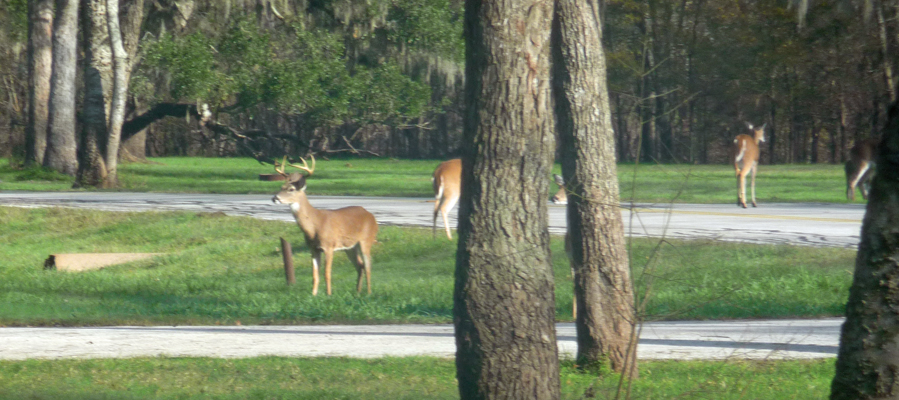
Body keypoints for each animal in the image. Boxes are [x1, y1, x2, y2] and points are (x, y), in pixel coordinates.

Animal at [268, 156, 378, 296]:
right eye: (281, 186)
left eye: (291, 189)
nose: (274, 198)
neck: (315, 225)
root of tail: (371, 215)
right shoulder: (313, 249)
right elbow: (315, 275)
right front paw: (313, 295)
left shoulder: (329, 246)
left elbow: (327, 273)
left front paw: (328, 295)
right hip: (350, 247)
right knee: (360, 265)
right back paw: (357, 292)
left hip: (366, 240)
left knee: (368, 265)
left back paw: (368, 293)